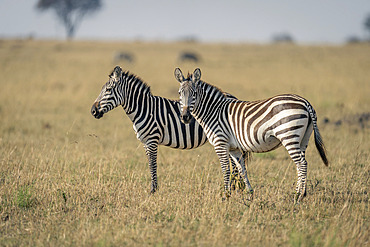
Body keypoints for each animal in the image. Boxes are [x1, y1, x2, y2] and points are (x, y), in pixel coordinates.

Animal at [90, 66, 246, 194]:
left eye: (108, 90)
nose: (93, 111)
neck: (144, 109)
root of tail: (233, 97)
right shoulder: (145, 142)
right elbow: (150, 164)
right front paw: (154, 188)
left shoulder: (152, 140)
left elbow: (152, 164)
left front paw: (153, 190)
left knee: (233, 163)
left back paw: (234, 188)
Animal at [175, 67, 328, 201]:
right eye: (179, 93)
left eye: (194, 94)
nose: (185, 117)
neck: (213, 111)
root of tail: (305, 102)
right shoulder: (234, 148)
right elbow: (242, 170)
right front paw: (250, 194)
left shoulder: (220, 143)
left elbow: (226, 170)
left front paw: (226, 196)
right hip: (303, 139)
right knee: (302, 163)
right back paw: (301, 193)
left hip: (288, 135)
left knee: (301, 163)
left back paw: (298, 196)